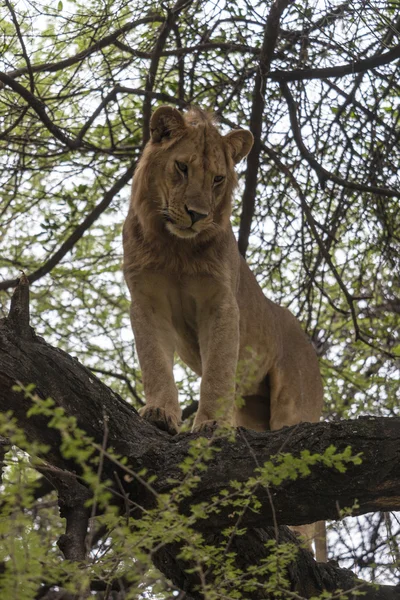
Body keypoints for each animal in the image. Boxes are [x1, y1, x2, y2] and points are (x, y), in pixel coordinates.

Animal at [122, 103, 324, 556]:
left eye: (217, 179)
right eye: (181, 167)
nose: (197, 215)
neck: (174, 246)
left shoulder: (221, 305)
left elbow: (215, 372)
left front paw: (211, 426)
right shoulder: (146, 301)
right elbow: (154, 361)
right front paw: (160, 413)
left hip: (293, 405)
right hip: (253, 411)